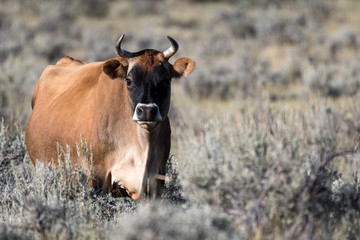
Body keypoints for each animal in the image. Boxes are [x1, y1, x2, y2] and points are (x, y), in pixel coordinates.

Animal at [26, 33, 194, 199]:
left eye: (166, 80)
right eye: (128, 80)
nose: (146, 110)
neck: (143, 146)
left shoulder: (156, 180)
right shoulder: (98, 177)